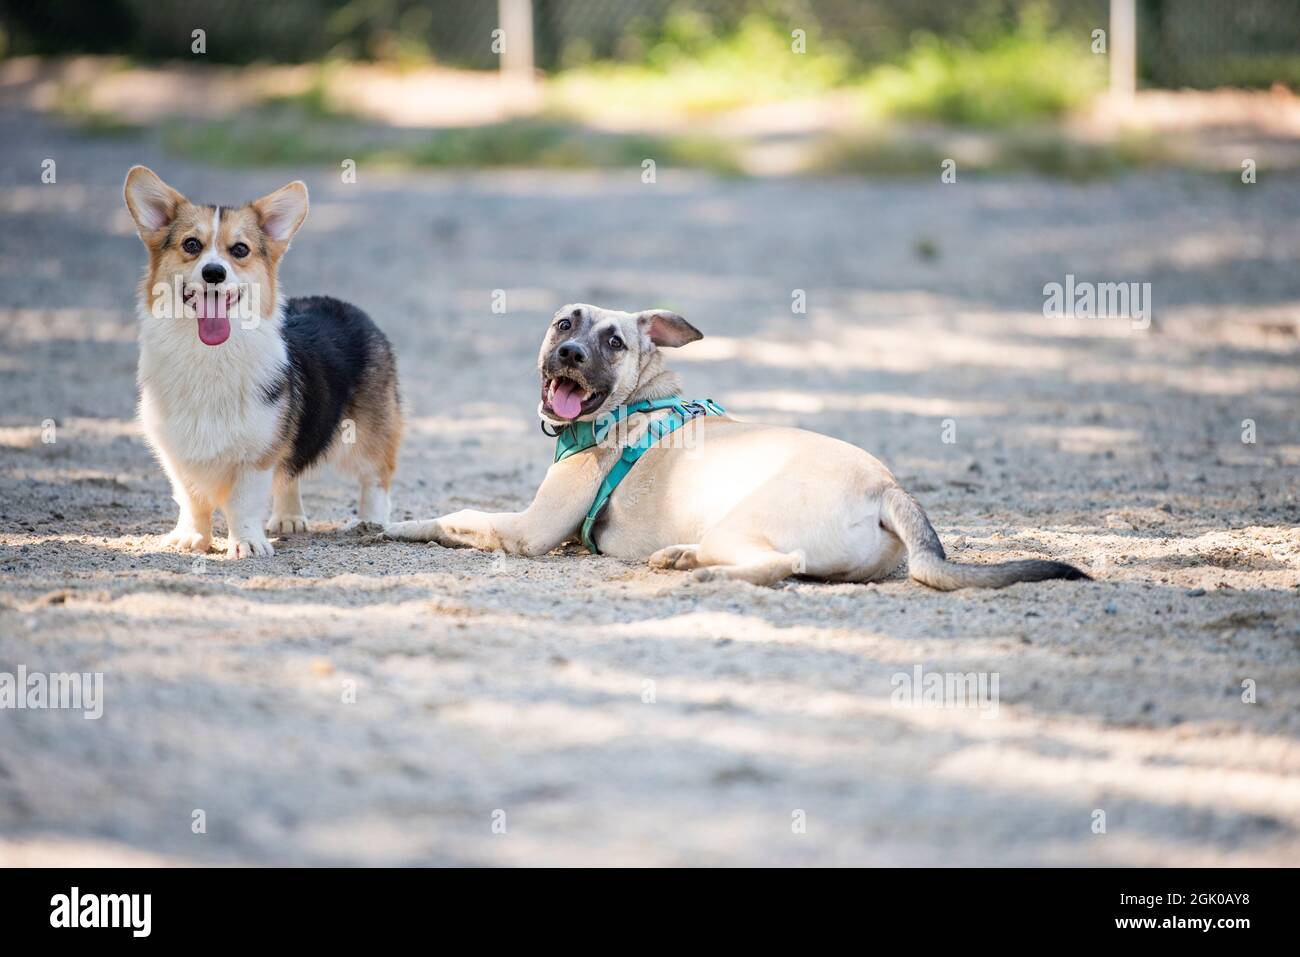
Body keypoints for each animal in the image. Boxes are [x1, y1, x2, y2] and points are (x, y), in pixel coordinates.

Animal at [127, 167, 403, 556]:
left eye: (240, 250)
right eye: (191, 245)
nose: (214, 273)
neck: (210, 356)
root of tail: (344, 305)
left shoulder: (258, 453)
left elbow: (242, 501)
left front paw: (246, 543)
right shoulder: (178, 453)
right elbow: (192, 498)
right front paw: (191, 538)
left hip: (367, 434)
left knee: (375, 476)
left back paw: (372, 522)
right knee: (291, 473)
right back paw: (289, 518)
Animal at [384, 302, 1086, 587]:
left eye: (614, 341)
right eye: (564, 324)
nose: (571, 354)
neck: (635, 402)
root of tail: (887, 489)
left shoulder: (529, 530)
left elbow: (457, 516)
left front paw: (392, 527)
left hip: (740, 522)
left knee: (779, 566)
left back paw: (699, 572)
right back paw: (680, 557)